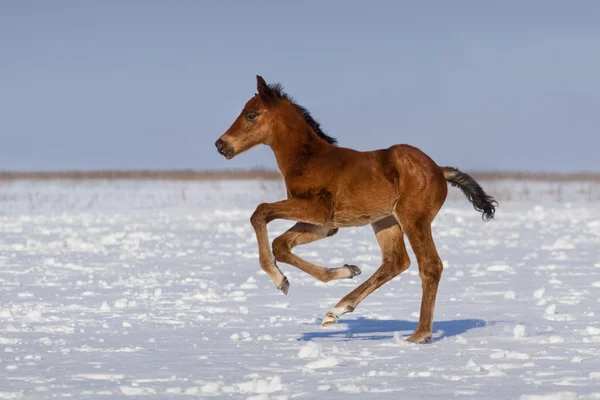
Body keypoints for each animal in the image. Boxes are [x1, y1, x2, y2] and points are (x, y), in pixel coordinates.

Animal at [213, 76, 494, 344]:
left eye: (251, 114)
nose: (220, 144)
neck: (309, 160)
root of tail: (438, 169)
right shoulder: (324, 225)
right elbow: (280, 245)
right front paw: (346, 270)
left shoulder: (316, 210)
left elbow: (260, 213)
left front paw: (279, 279)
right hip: (385, 221)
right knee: (395, 261)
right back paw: (336, 311)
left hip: (413, 219)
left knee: (430, 265)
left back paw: (419, 334)